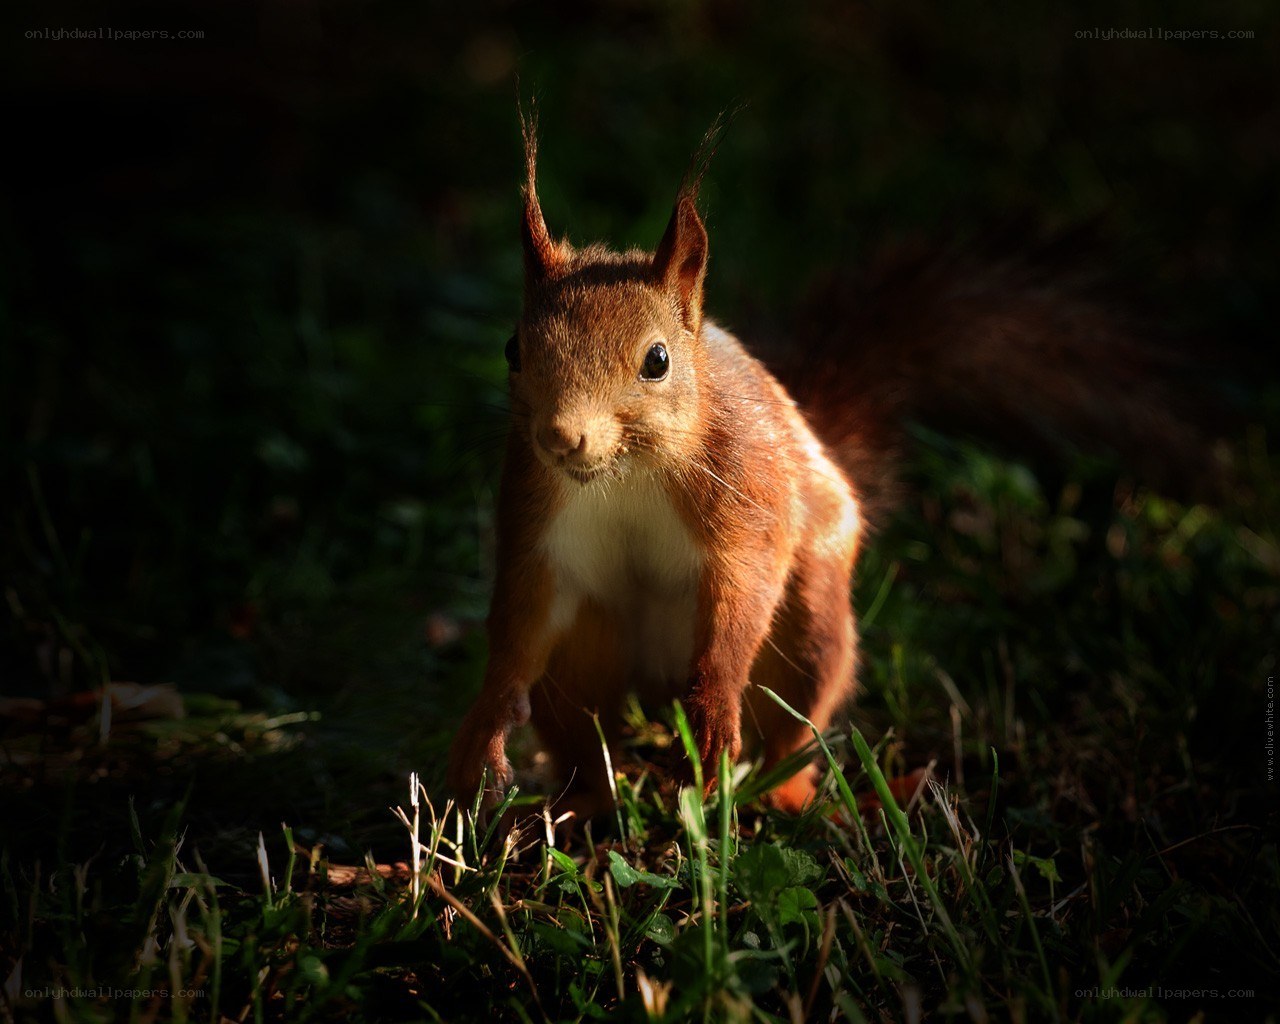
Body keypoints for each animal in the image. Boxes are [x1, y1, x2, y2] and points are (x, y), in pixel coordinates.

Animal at [445, 116, 1223, 822]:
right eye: (513, 348)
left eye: (657, 360)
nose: (561, 437)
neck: (626, 473)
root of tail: (657, 684)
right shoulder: (538, 516)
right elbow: (520, 620)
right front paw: (482, 731)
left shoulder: (745, 493)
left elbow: (743, 590)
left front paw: (715, 703)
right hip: (586, 652)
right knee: (584, 734)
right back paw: (583, 807)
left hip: (812, 637)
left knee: (787, 738)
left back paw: (801, 795)